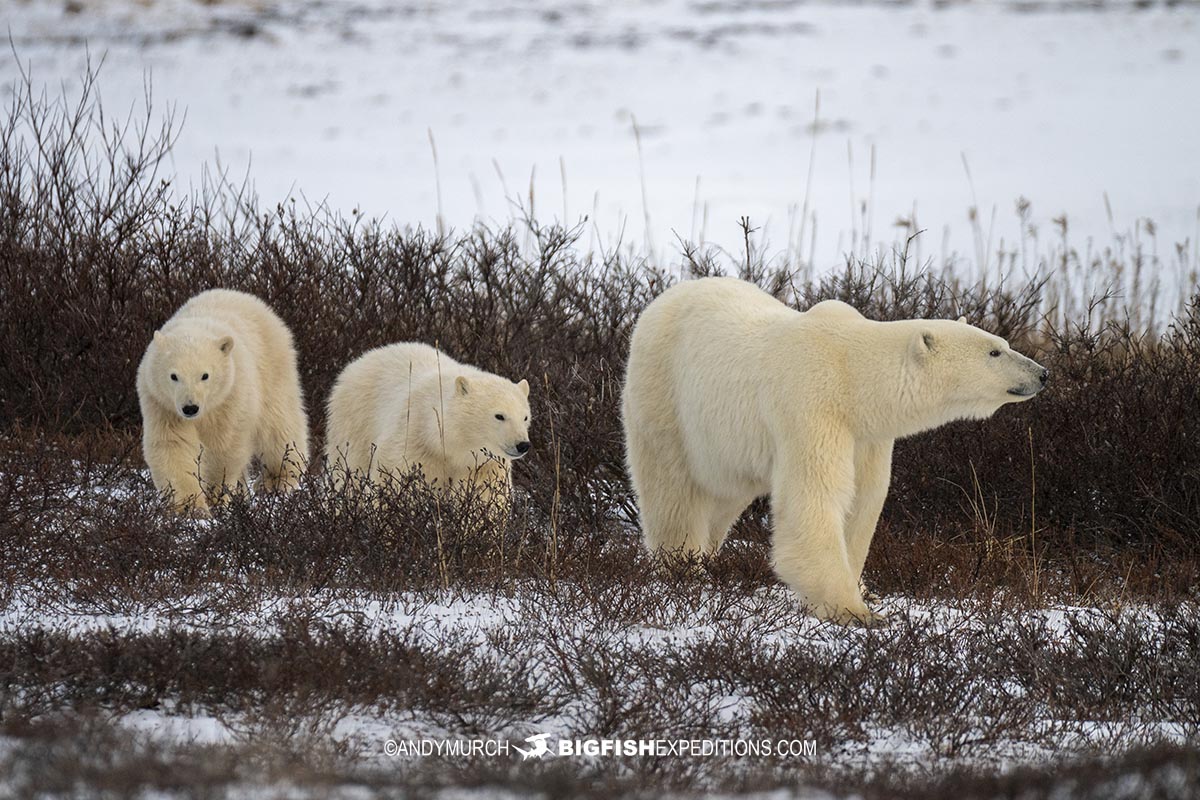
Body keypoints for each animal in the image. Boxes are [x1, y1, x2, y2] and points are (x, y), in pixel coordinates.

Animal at [136, 289, 309, 513]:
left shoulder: (229, 398)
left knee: (278, 427)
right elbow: (173, 446)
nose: (190, 408)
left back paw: (276, 480)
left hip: (273, 370)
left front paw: (215, 496)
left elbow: (222, 447)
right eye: (174, 376)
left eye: (205, 375)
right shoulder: (163, 406)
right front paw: (190, 507)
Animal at [328, 343, 535, 506]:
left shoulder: (484, 464)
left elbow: (484, 497)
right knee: (349, 470)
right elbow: (398, 482)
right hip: (355, 419)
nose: (522, 445)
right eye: (499, 416)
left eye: (525, 417)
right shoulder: (413, 441)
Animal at [624, 277, 1046, 623]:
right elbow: (816, 498)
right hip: (664, 399)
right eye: (994, 351)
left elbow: (863, 499)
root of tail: (659, 303)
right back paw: (682, 565)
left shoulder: (866, 435)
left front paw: (862, 589)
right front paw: (854, 612)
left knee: (725, 495)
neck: (852, 375)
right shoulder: (812, 405)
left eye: (1005, 344)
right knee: (673, 491)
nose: (1042, 373)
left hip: (725, 444)